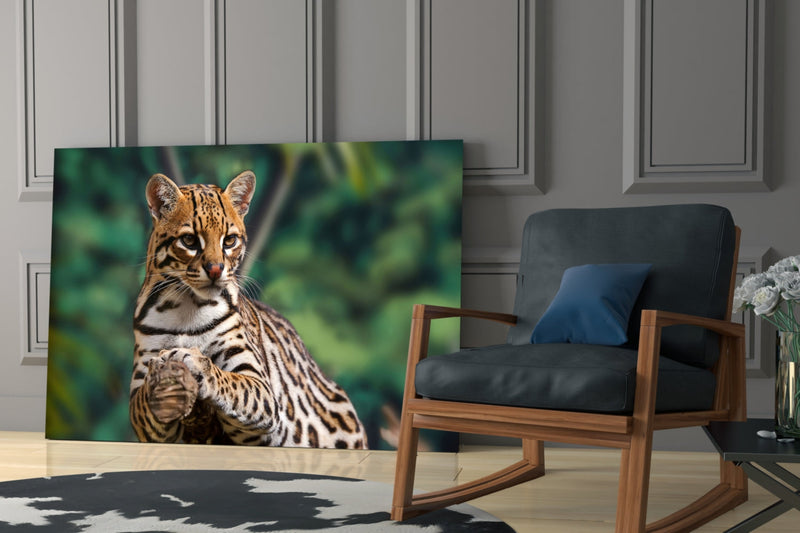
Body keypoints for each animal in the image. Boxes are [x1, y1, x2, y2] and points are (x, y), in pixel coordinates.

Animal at [129, 170, 368, 449]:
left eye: (229, 240)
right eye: (189, 240)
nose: (215, 270)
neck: (187, 307)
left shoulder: (261, 388)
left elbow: (230, 382)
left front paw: (194, 361)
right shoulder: (145, 412)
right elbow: (143, 403)